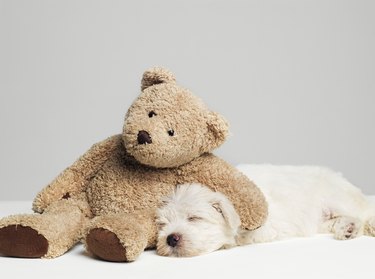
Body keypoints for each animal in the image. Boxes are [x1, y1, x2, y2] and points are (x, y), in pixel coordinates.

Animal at [156, 165, 375, 260]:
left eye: (194, 218)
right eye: (162, 226)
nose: (171, 238)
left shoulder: (264, 225)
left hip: (338, 199)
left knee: (364, 215)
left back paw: (356, 226)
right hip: (321, 220)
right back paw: (347, 228)